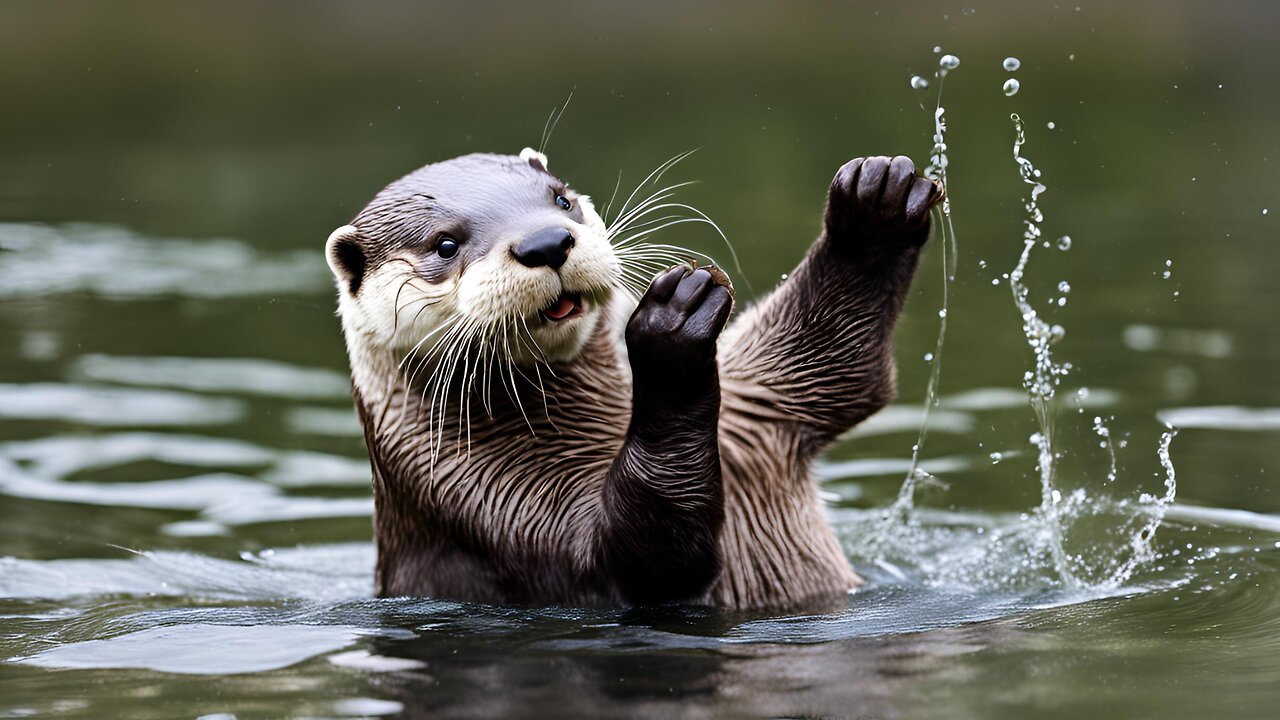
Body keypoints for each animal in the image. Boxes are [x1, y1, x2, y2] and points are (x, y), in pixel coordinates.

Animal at [320, 148, 942, 607]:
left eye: (561, 199)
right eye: (445, 244)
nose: (546, 242)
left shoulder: (756, 410)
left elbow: (843, 362)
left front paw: (874, 209)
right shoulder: (494, 509)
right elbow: (649, 559)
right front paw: (670, 334)